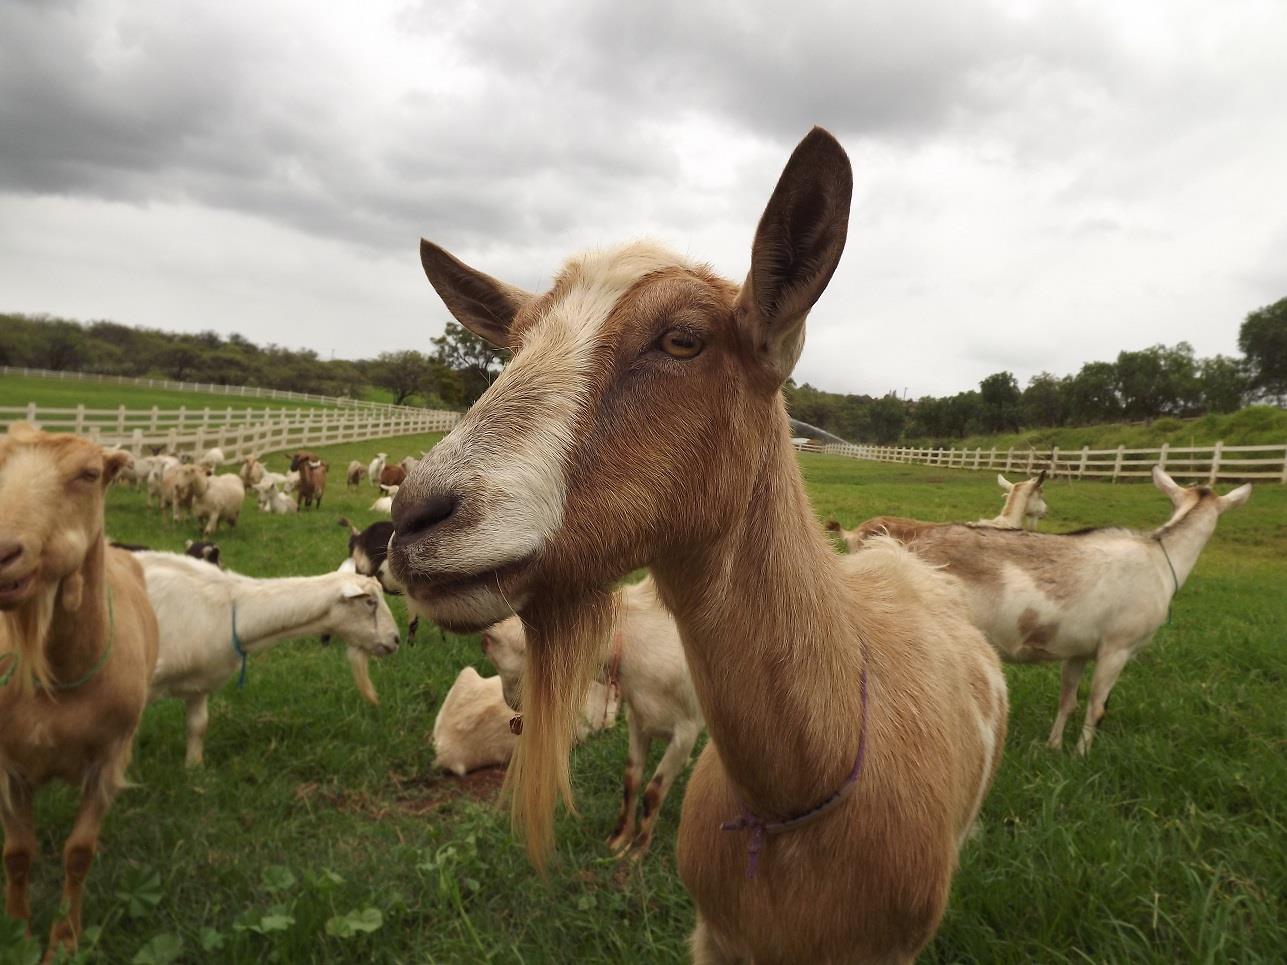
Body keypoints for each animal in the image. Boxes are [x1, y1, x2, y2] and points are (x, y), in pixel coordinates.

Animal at [0, 424, 159, 962]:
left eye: (89, 474)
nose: (2, 552)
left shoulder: (108, 760)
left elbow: (78, 853)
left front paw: (65, 938)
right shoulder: (7, 766)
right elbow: (17, 853)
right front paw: (18, 930)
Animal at [140, 555, 401, 766]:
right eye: (370, 602)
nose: (396, 639)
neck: (231, 610)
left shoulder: (199, 684)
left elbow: (197, 726)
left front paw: (194, 770)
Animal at [854, 465, 1245, 761]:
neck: (1160, 558)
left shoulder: (1078, 650)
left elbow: (1068, 699)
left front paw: (1054, 746)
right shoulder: (1117, 647)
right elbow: (1097, 706)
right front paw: (1082, 754)